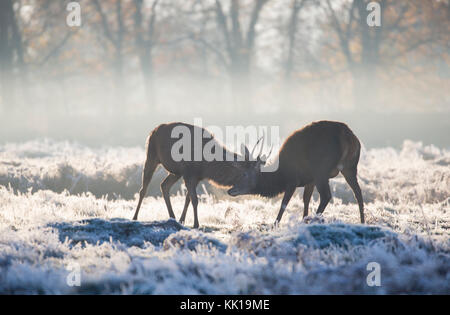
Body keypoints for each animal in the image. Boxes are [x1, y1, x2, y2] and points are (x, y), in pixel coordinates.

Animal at [132, 122, 260, 228]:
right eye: (244, 174)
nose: (255, 185)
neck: (207, 166)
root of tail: (153, 131)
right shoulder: (189, 174)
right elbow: (195, 199)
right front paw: (196, 224)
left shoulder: (196, 177)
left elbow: (188, 198)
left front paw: (182, 220)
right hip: (151, 156)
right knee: (143, 189)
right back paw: (135, 217)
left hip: (176, 172)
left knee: (164, 185)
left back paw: (172, 216)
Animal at [229, 120, 366, 225]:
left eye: (244, 174)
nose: (230, 190)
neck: (280, 176)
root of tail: (348, 137)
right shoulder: (310, 180)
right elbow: (306, 200)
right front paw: (304, 219)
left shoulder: (293, 180)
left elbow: (284, 204)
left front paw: (275, 224)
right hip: (350, 167)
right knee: (358, 193)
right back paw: (362, 222)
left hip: (321, 170)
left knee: (326, 195)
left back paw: (315, 219)